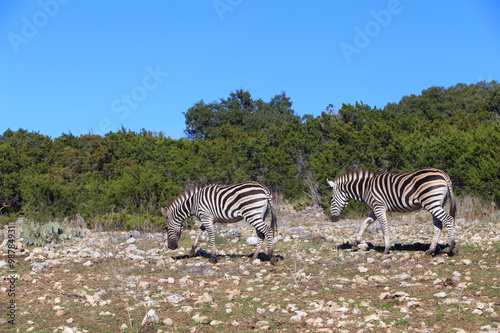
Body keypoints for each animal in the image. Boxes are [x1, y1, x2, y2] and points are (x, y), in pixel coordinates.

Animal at [328, 167, 458, 255]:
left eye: (331, 198)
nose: (331, 218)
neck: (365, 188)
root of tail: (443, 174)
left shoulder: (379, 207)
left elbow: (384, 226)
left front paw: (386, 249)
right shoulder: (374, 209)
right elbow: (364, 224)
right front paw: (355, 244)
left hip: (431, 202)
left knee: (448, 219)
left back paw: (452, 247)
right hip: (437, 203)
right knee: (438, 225)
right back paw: (430, 251)